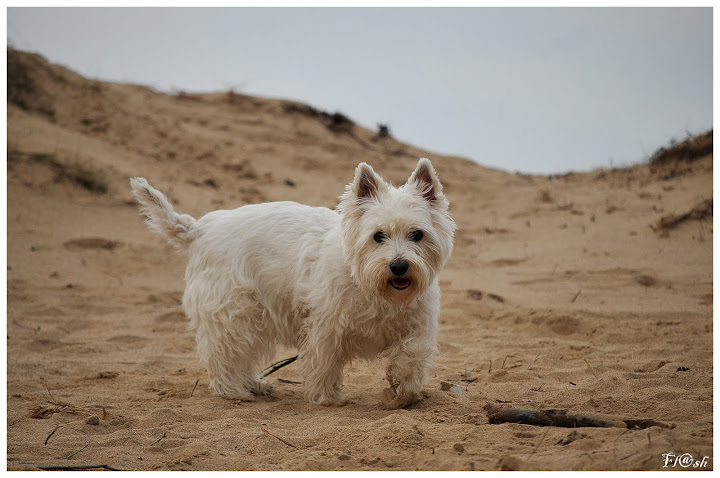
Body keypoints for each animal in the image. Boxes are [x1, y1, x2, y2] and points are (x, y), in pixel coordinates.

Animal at [130, 159, 456, 408]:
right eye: (378, 236)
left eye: (418, 234)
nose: (399, 266)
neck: (371, 285)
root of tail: (199, 228)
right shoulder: (326, 324)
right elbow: (324, 361)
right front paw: (327, 398)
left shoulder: (418, 322)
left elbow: (413, 352)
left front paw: (405, 389)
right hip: (234, 310)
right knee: (224, 353)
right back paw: (234, 391)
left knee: (241, 354)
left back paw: (255, 384)